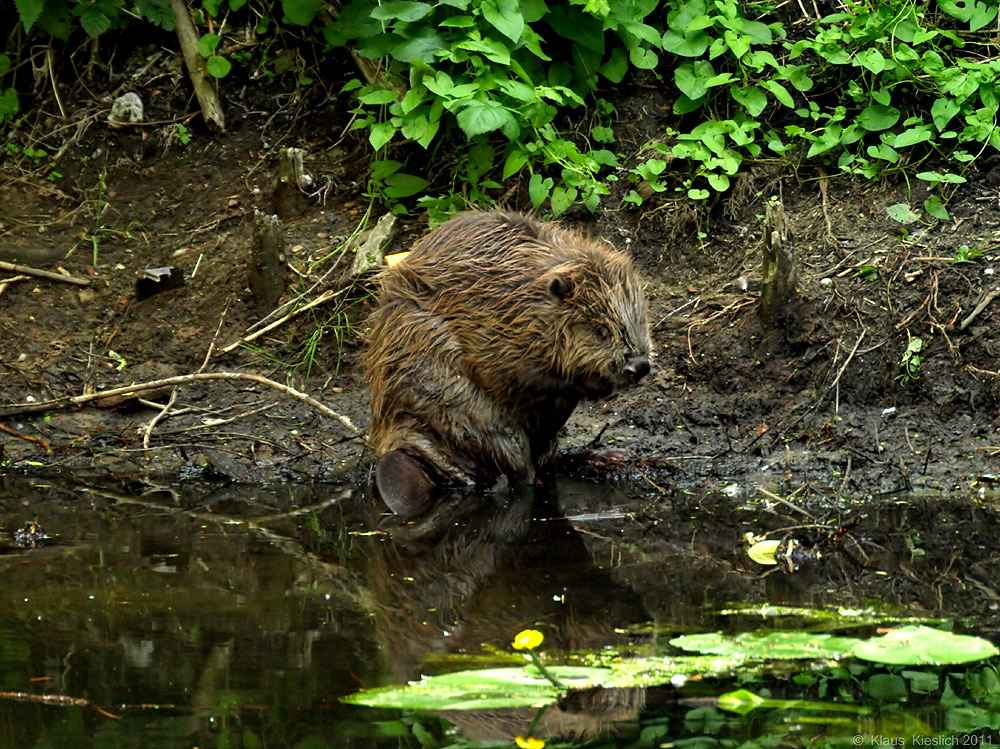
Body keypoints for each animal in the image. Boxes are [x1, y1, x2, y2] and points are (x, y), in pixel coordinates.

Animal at [364, 209, 652, 516]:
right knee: (518, 469)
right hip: (460, 406)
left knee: (544, 462)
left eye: (641, 319)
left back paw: (608, 456)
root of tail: (401, 452)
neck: (523, 296)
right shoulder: (493, 333)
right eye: (600, 331)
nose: (640, 365)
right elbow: (513, 375)